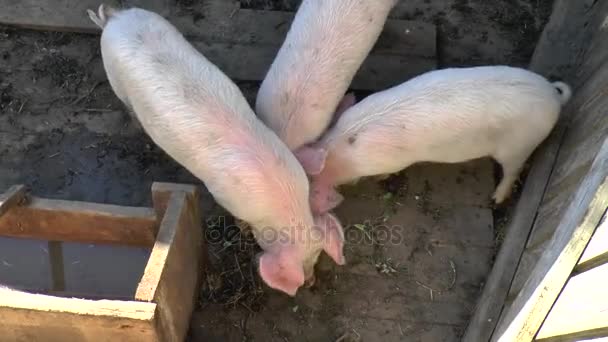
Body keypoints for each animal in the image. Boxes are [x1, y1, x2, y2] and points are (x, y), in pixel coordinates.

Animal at [89, 4, 346, 296]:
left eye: (316, 256)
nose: (310, 282)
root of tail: (116, 19)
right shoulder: (224, 196)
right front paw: (243, 229)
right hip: (115, 78)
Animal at [296, 65, 572, 212]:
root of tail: (553, 94)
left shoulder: (394, 161)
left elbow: (387, 172)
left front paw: (378, 179)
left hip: (519, 146)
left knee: (513, 171)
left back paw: (496, 199)